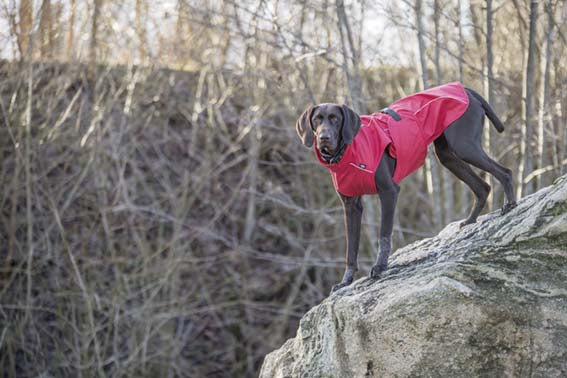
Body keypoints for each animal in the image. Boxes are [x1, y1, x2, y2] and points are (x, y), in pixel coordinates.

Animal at [298, 82, 520, 294]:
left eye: (335, 119)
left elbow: (384, 235)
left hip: (465, 146)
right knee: (482, 187)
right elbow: (350, 249)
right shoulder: (351, 206)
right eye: (317, 119)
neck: (347, 152)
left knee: (505, 172)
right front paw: (346, 281)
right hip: (448, 155)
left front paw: (380, 267)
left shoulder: (389, 192)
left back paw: (510, 204)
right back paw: (471, 220)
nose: (324, 138)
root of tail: (466, 89)